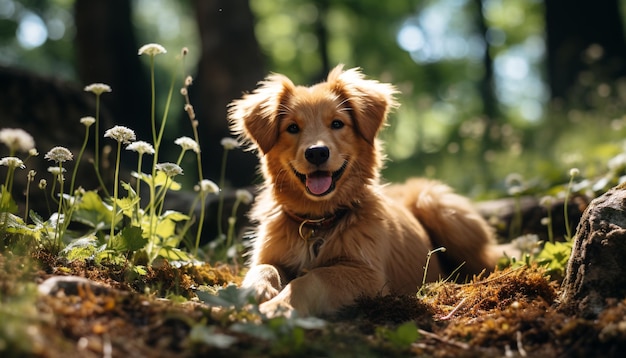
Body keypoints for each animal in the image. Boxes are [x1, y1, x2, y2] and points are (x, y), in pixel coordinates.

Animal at [228, 64, 498, 316]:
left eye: (337, 123)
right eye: (292, 128)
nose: (316, 152)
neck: (317, 222)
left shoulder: (369, 275)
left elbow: (313, 278)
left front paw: (276, 307)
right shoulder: (270, 255)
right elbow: (263, 269)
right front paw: (250, 293)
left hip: (436, 204)